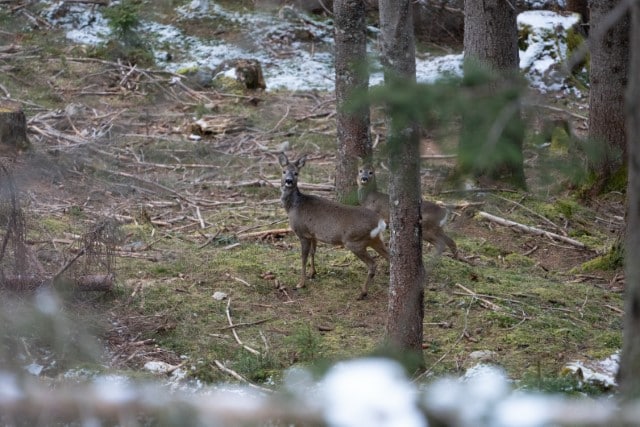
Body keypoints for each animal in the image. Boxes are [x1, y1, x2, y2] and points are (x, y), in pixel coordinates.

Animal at [278, 154, 388, 300]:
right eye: (284, 171)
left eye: (296, 173)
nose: (288, 181)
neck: (294, 206)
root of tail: (380, 222)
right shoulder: (313, 234)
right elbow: (313, 252)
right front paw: (313, 273)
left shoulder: (303, 233)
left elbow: (303, 258)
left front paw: (301, 283)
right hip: (375, 239)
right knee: (390, 257)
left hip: (354, 241)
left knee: (372, 264)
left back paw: (362, 293)